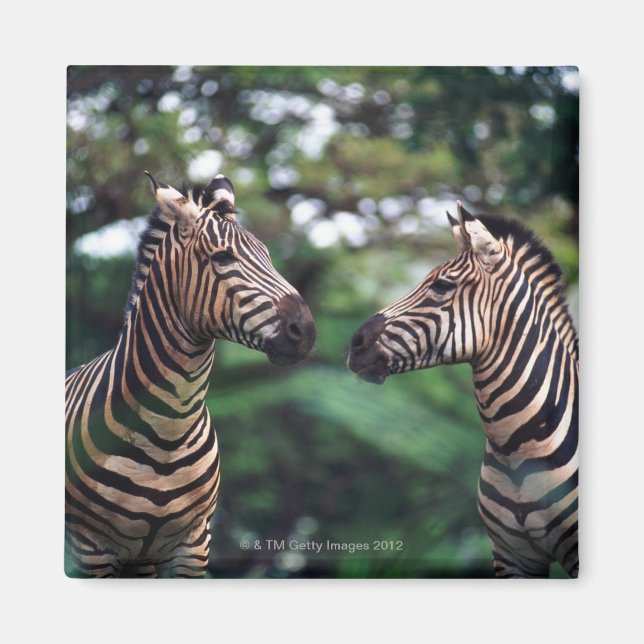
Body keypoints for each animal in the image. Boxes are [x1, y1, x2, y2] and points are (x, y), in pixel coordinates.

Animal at [65, 172, 316, 577]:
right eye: (222, 257)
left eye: (267, 256)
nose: (306, 332)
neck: (168, 428)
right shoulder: (92, 549)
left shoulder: (193, 545)